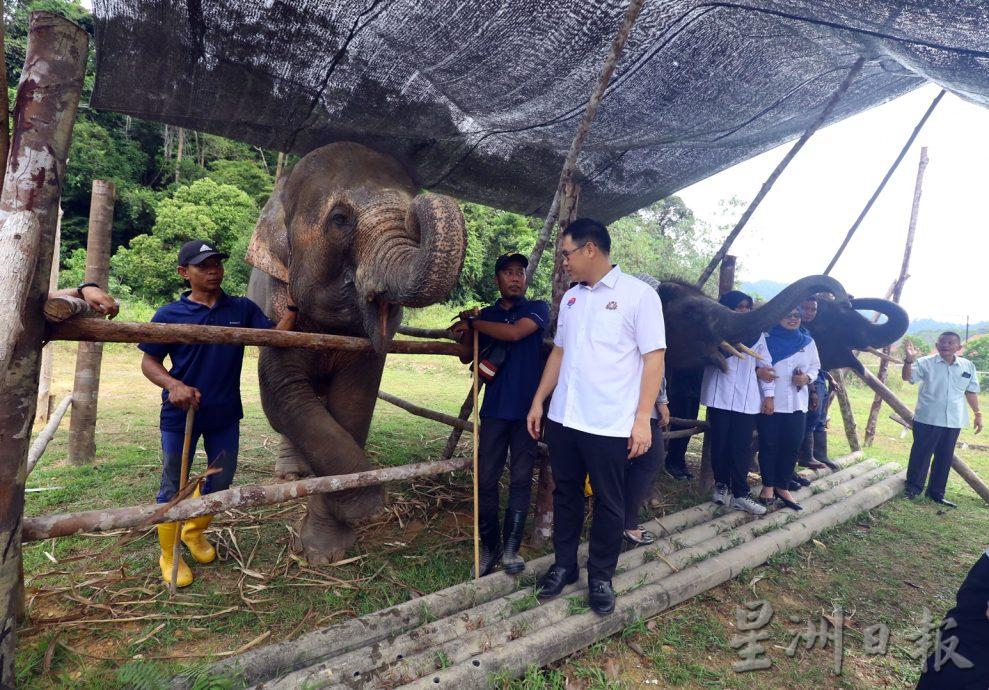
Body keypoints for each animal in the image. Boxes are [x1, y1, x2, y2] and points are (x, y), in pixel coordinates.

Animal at [245, 142, 466, 560]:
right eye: (340, 219)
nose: (418, 206)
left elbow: (354, 403)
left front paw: (328, 548)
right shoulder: (276, 307)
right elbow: (281, 394)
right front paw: (363, 505)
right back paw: (291, 475)